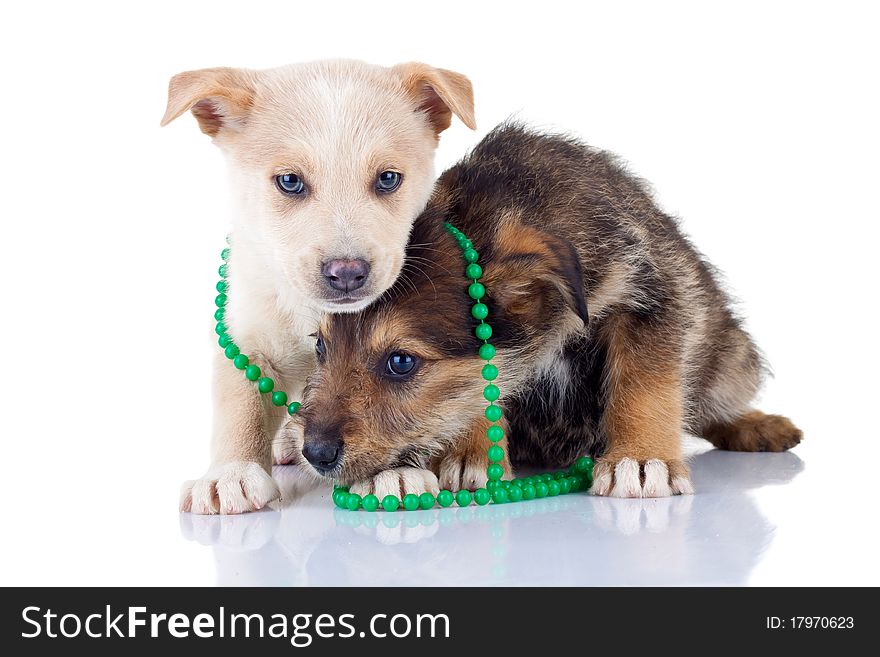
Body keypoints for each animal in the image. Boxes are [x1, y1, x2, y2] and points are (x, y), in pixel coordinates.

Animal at [298, 124, 804, 498]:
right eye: (320, 347)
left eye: (401, 362)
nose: (314, 454)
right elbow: (478, 393)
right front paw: (466, 454)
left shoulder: (653, 290)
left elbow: (646, 382)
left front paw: (642, 459)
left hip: (731, 358)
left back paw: (755, 425)